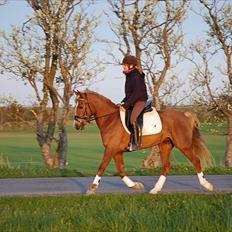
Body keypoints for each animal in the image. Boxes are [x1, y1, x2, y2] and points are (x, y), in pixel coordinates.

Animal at [73, 90, 213, 194]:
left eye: (80, 106)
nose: (76, 125)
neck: (110, 119)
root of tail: (185, 115)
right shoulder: (116, 151)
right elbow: (121, 170)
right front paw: (135, 185)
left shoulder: (111, 149)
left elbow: (102, 167)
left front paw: (92, 188)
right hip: (165, 145)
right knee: (166, 166)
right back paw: (155, 189)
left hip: (183, 145)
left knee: (196, 161)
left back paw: (207, 185)